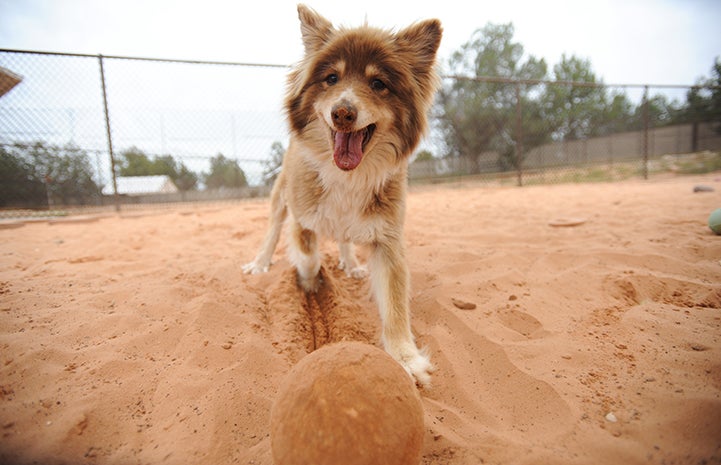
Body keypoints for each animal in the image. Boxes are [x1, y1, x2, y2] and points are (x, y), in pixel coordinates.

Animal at [245, 5, 442, 386]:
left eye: (378, 84)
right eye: (331, 78)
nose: (343, 112)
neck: (348, 178)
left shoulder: (388, 240)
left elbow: (395, 304)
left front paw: (406, 358)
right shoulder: (301, 218)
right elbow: (307, 254)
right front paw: (310, 281)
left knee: (346, 239)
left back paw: (350, 263)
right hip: (279, 199)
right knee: (272, 231)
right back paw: (261, 263)